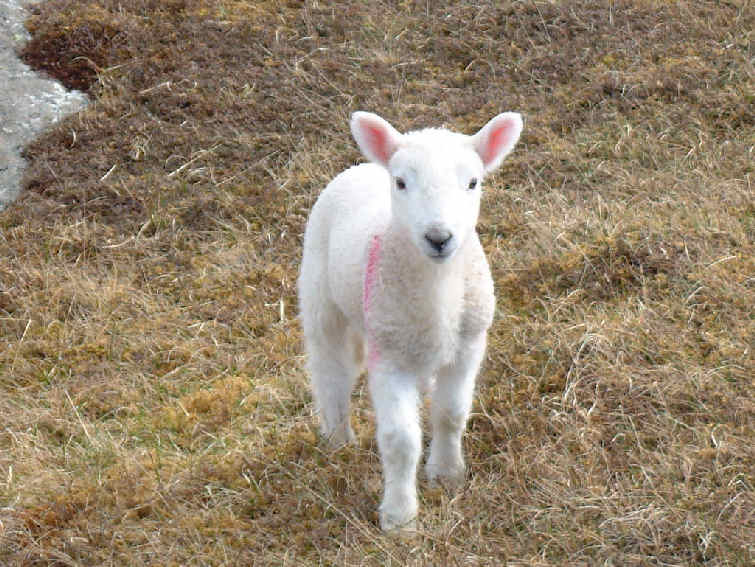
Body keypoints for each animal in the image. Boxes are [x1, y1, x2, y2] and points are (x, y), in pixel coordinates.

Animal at [298, 110, 523, 532]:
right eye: (401, 182)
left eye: (473, 182)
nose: (438, 237)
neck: (438, 290)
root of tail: (364, 166)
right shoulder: (388, 357)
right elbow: (400, 439)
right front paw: (399, 516)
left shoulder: (469, 344)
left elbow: (451, 414)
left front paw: (447, 474)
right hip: (322, 300)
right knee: (330, 370)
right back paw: (338, 438)